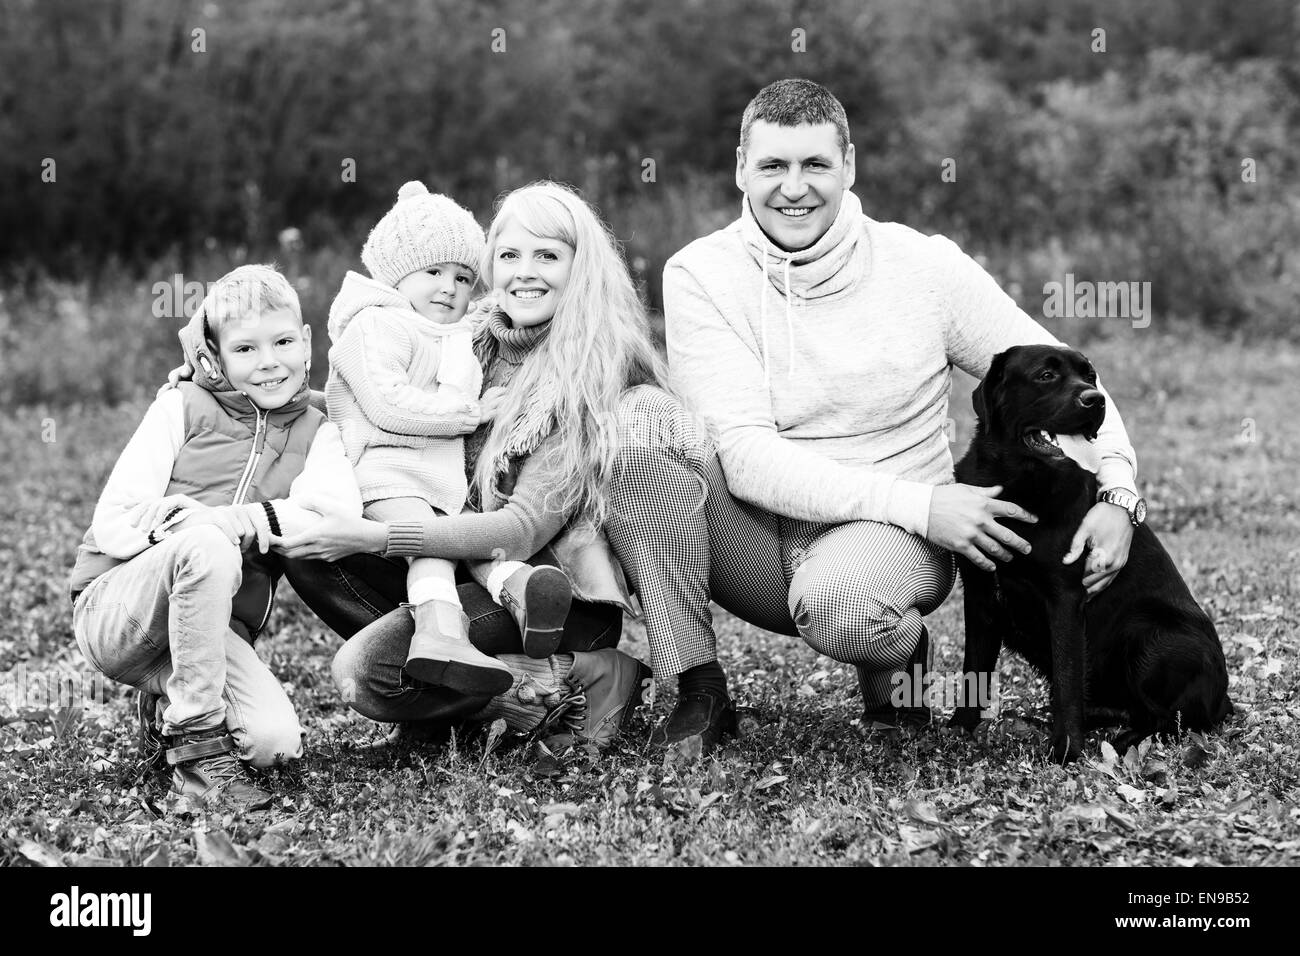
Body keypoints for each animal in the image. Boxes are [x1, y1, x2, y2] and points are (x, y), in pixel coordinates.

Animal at [946, 343, 1227, 764]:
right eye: (1046, 375)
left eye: (1090, 376)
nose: (1096, 399)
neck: (1017, 481)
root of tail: (1224, 699)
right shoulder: (980, 596)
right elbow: (973, 670)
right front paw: (959, 730)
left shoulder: (1065, 598)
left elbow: (1066, 679)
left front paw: (1066, 750)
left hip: (1150, 636)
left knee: (1171, 720)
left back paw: (1123, 741)